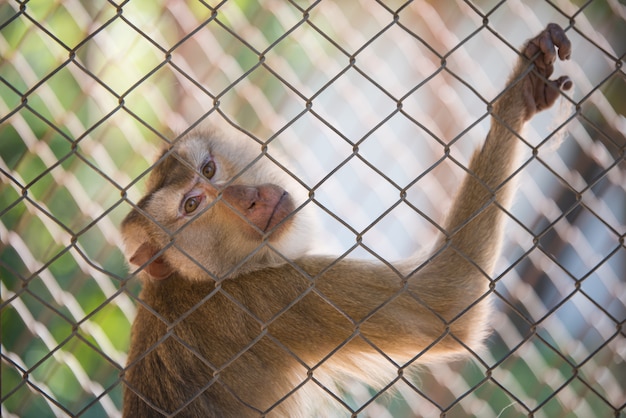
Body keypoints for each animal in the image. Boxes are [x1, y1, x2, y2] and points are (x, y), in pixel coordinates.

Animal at [118, 23, 572, 418]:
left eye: (209, 170)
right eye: (192, 206)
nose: (248, 199)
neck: (200, 279)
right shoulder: (270, 299)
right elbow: (447, 301)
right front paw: (513, 103)